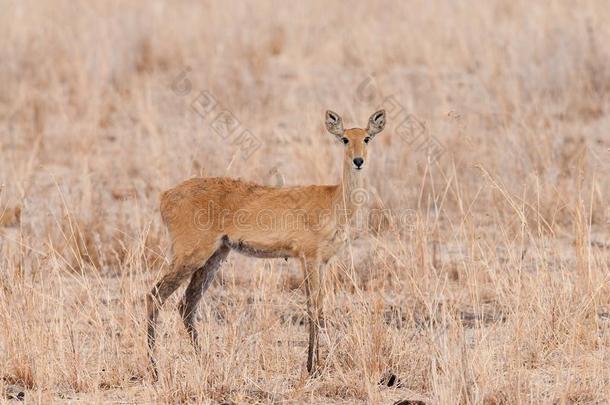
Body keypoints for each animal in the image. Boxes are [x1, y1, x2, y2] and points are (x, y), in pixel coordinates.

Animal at [146, 108, 384, 378]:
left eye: (367, 138)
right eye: (344, 139)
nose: (358, 161)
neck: (334, 201)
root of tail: (165, 196)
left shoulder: (322, 263)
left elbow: (320, 307)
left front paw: (318, 365)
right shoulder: (308, 259)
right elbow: (312, 307)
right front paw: (311, 367)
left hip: (215, 256)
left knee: (187, 304)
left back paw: (205, 362)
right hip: (191, 255)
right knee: (155, 295)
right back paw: (155, 369)